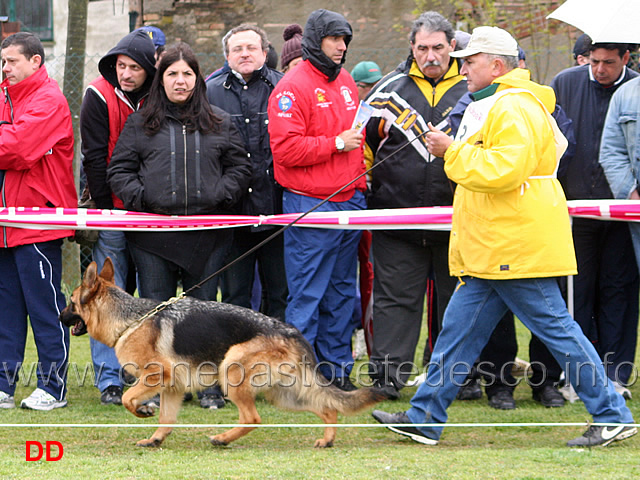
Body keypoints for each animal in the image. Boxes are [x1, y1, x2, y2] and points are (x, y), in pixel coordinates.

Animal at [58, 260, 384, 448]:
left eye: (71, 303)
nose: (59, 316)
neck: (130, 319)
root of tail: (292, 332)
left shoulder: (156, 376)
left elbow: (128, 398)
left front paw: (142, 411)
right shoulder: (172, 388)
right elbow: (166, 419)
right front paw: (155, 439)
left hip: (233, 370)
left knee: (252, 418)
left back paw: (222, 439)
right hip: (285, 394)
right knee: (328, 407)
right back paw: (327, 440)